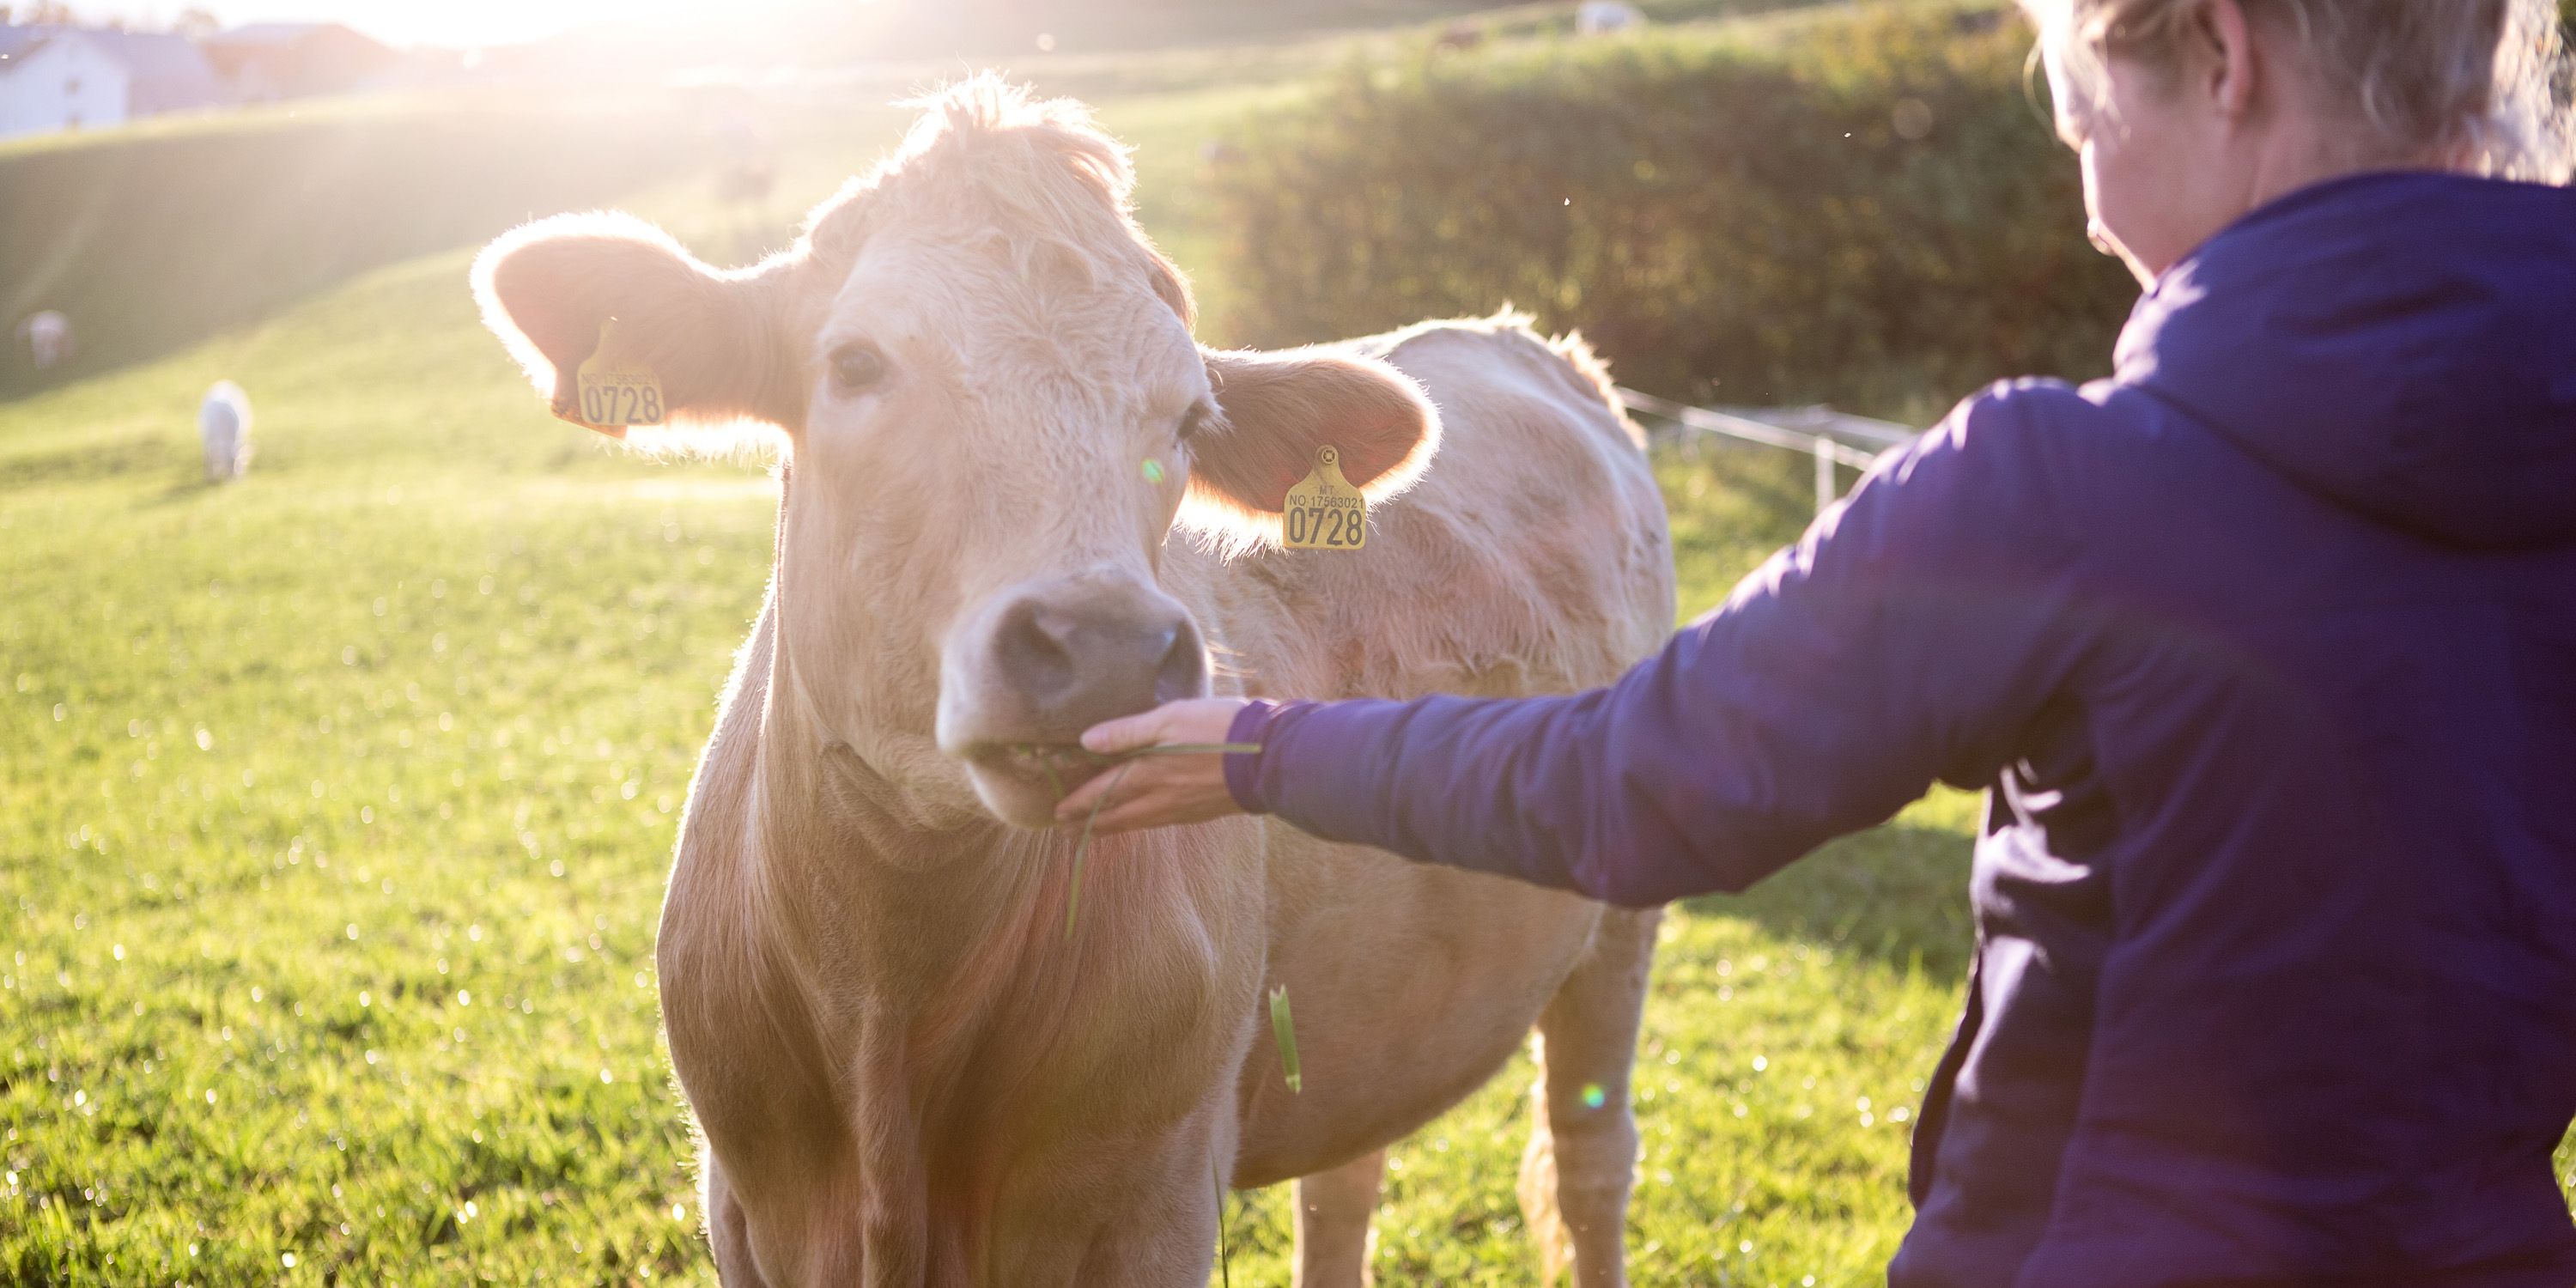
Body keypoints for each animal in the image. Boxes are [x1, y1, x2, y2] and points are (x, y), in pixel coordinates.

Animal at [472, 78, 1676, 1287]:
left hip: (1620, 900)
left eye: (1192, 419)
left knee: (1591, 1158)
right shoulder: (745, 1207)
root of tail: (1526, 341)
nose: (1104, 650)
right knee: (1346, 1182)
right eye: (854, 364)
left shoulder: (1152, 1200)